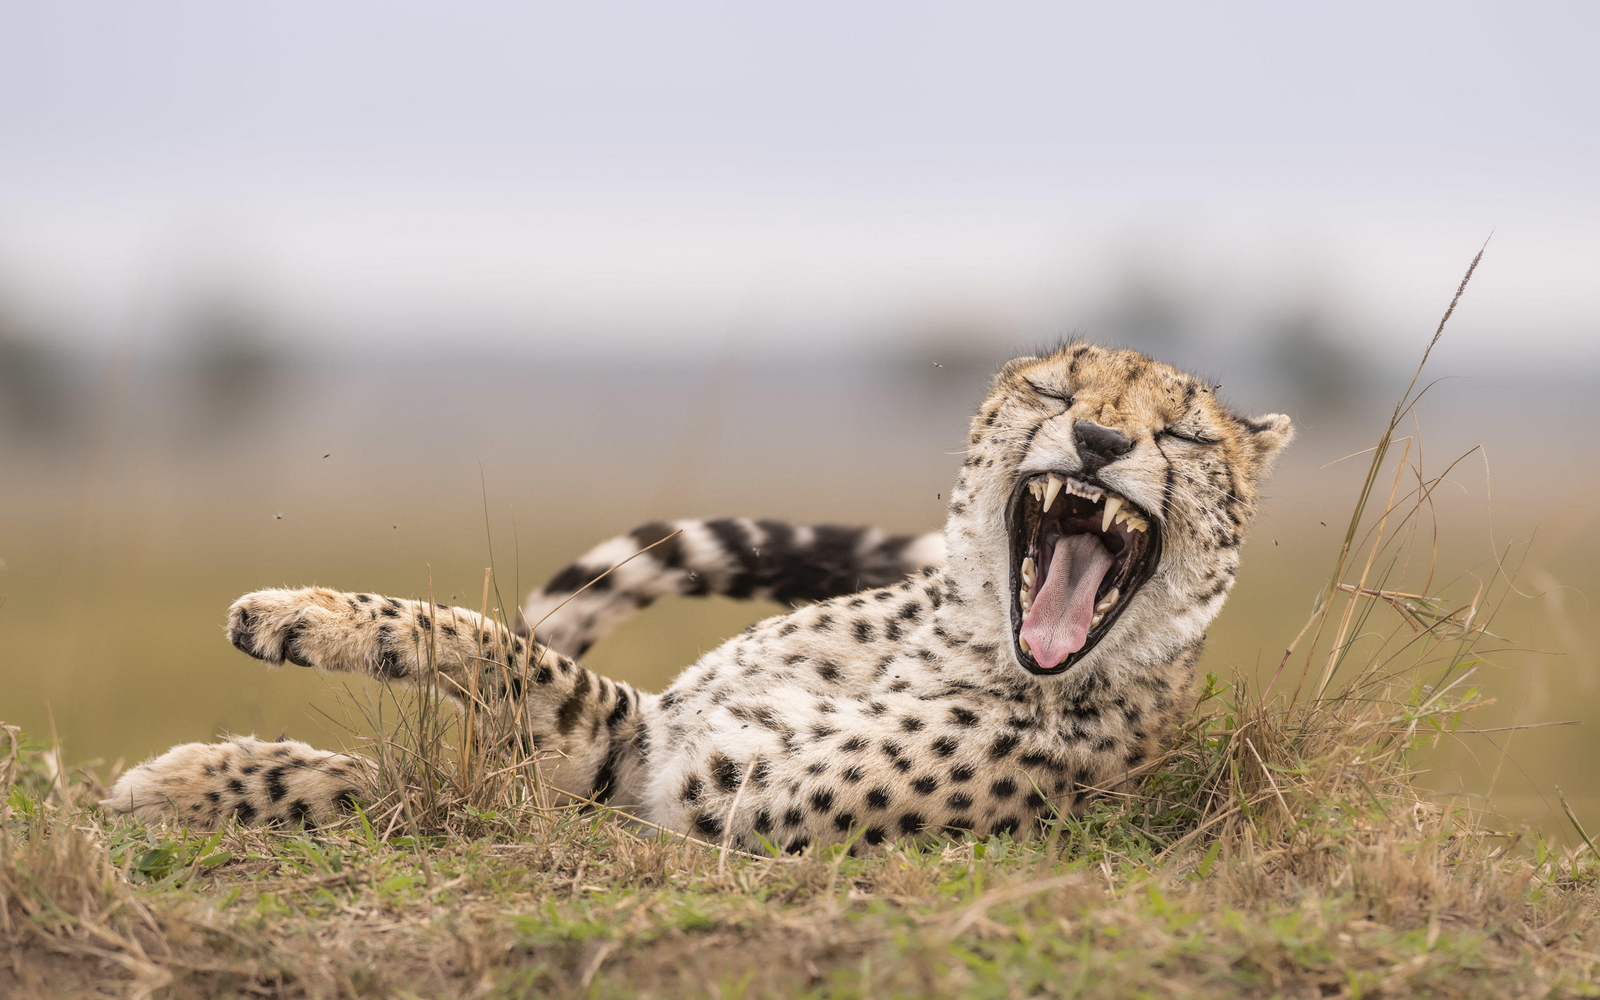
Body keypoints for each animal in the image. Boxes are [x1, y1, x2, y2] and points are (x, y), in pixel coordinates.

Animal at [103, 343, 1292, 851]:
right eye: (1054, 391)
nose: (1096, 442)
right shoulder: (639, 750)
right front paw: (231, 738)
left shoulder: (702, 797)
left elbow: (485, 749)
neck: (957, 645)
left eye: (1183, 435)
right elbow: (484, 671)